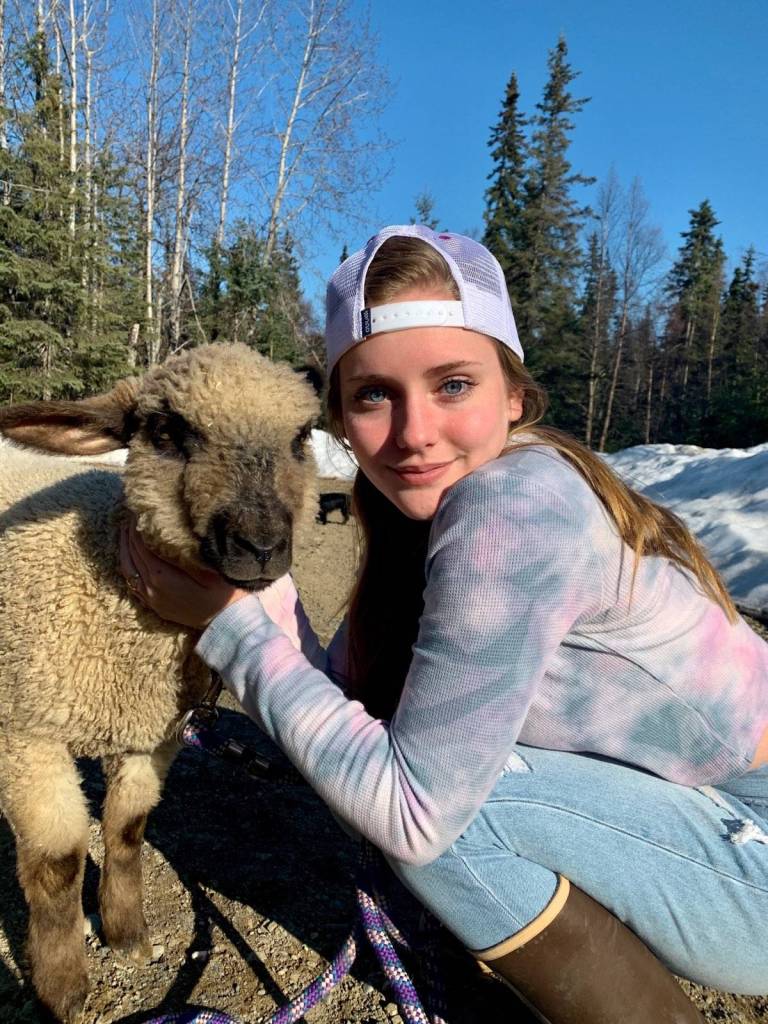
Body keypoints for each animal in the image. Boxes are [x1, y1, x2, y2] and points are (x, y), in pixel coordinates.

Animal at [0, 342, 320, 1023]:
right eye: (168, 432)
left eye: (302, 437)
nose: (261, 545)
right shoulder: (25, 733)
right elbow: (58, 863)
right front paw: (62, 988)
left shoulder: (155, 735)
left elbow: (127, 828)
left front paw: (127, 935)